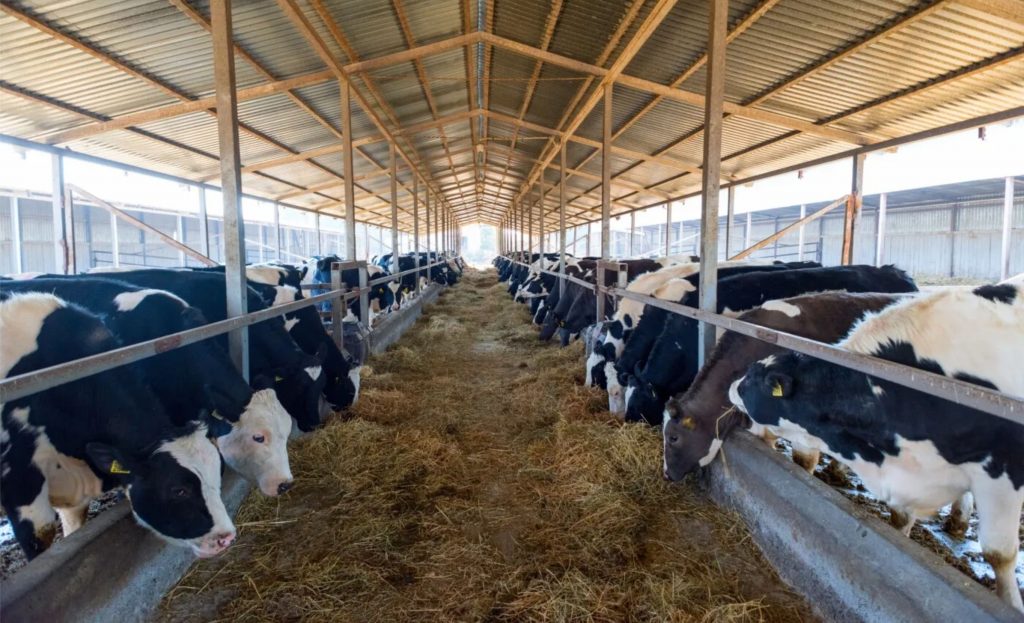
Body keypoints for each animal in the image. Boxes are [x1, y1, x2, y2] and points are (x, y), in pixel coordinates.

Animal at [729, 284, 1024, 610]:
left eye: (753, 380)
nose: (731, 386)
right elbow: (900, 521)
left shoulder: (1003, 472)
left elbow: (999, 554)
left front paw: (1011, 604)